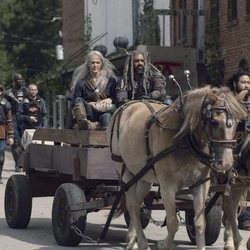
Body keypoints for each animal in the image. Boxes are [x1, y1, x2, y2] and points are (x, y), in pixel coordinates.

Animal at [108, 86, 248, 250]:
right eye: (213, 122)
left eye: (238, 123)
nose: (226, 163)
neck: (184, 140)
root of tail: (127, 105)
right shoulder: (167, 187)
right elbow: (173, 223)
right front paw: (164, 244)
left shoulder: (201, 185)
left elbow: (200, 223)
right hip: (125, 170)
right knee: (131, 205)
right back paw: (137, 242)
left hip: (144, 176)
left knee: (136, 204)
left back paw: (134, 240)